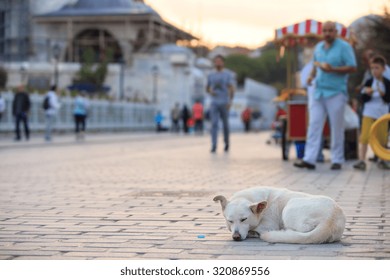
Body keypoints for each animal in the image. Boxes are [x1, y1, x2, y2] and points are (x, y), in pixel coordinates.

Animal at [215, 187, 346, 244]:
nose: (236, 237)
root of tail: (330, 219)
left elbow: (257, 228)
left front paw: (253, 232)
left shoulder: (269, 225)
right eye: (230, 221)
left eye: (244, 219)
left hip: (289, 208)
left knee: (301, 231)